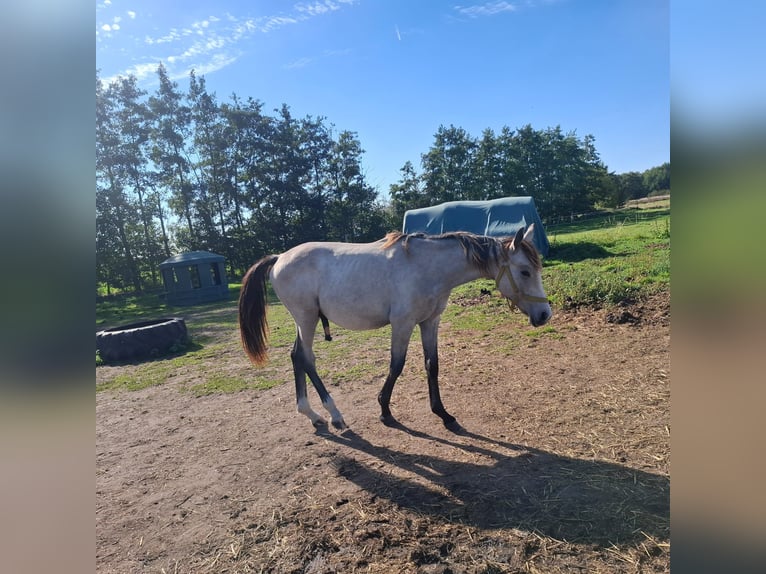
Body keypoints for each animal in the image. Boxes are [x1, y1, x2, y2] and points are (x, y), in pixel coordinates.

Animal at [238, 225, 551, 432]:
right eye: (525, 271)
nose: (545, 314)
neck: (427, 267)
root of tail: (279, 257)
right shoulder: (403, 324)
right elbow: (396, 365)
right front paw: (385, 410)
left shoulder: (429, 321)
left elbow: (432, 365)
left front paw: (443, 414)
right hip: (307, 319)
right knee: (306, 358)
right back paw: (334, 414)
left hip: (305, 320)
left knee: (296, 356)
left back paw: (313, 415)